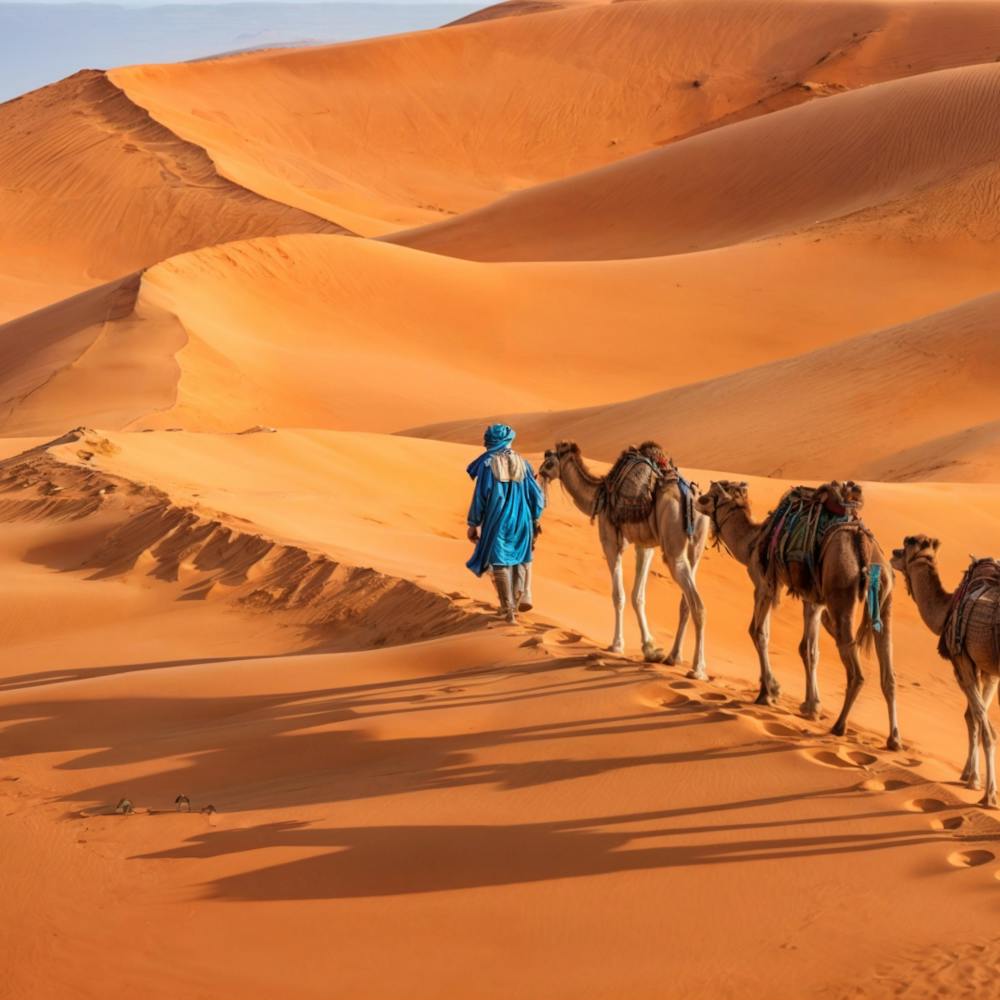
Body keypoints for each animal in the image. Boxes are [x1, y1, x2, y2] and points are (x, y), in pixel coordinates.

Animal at [537, 441, 709, 675]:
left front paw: (617, 645)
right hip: (695, 546)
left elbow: (619, 595)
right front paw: (650, 648)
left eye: (549, 462)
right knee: (686, 602)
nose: (539, 473)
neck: (599, 493)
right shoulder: (644, 545)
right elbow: (638, 595)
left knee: (697, 604)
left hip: (673, 548)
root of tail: (689, 496)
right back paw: (673, 657)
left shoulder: (610, 541)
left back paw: (698, 669)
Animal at [695, 480, 901, 751]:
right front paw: (811, 706)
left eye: (711, 496)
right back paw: (894, 738)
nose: (696, 499)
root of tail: (862, 546)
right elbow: (809, 650)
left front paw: (768, 692)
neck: (753, 542)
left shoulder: (765, 583)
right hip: (885, 599)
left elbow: (758, 632)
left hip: (842, 592)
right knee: (888, 671)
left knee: (856, 669)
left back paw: (839, 726)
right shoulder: (812, 600)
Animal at [891, 535, 999, 807]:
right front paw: (969, 775)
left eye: (904, 549)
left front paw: (985, 791)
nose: (892, 553)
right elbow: (973, 717)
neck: (947, 609)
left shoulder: (962, 660)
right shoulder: (987, 670)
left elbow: (982, 726)